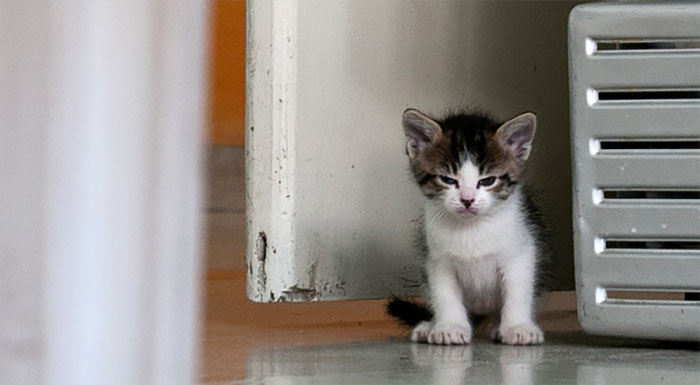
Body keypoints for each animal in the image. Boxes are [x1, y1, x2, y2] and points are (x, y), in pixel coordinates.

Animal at [386, 107, 548, 344]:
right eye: (447, 180)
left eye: (488, 181)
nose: (467, 200)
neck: (471, 228)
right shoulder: (437, 261)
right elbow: (444, 295)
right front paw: (450, 327)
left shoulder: (521, 251)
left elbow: (517, 292)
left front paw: (517, 327)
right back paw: (429, 326)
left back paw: (496, 325)